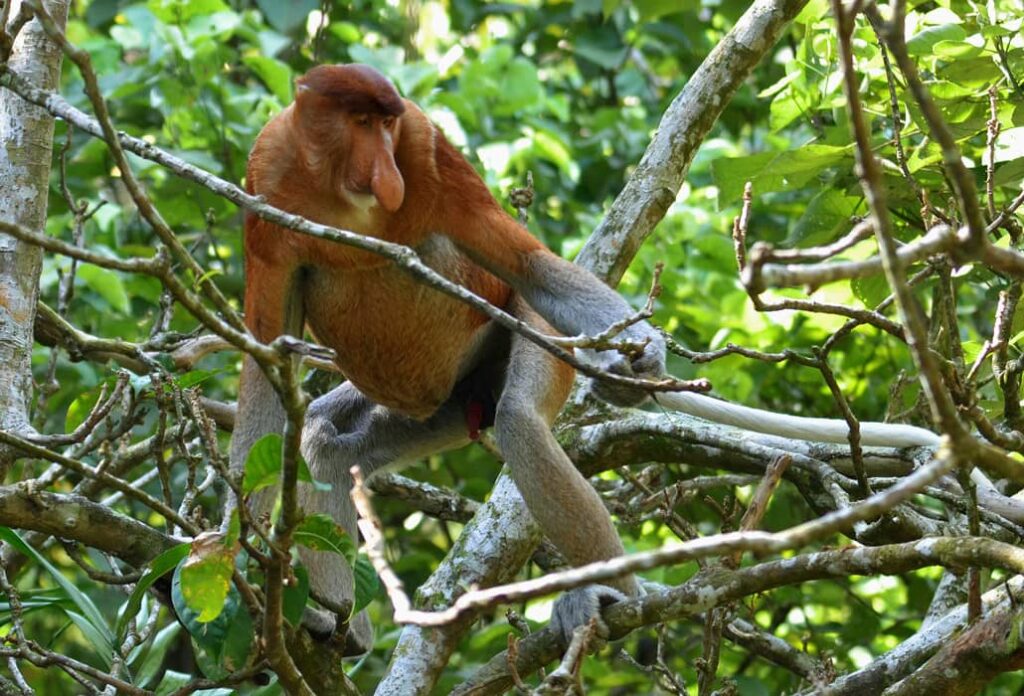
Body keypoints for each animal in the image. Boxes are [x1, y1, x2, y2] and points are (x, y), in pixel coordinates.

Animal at [230, 63, 667, 654]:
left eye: (388, 125)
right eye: (361, 122)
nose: (388, 175)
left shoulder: (428, 152)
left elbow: (526, 261)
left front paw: (646, 355)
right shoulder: (266, 178)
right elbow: (266, 361)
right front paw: (230, 557)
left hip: (525, 326)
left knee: (519, 416)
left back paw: (612, 596)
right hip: (446, 407)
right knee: (324, 439)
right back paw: (343, 628)